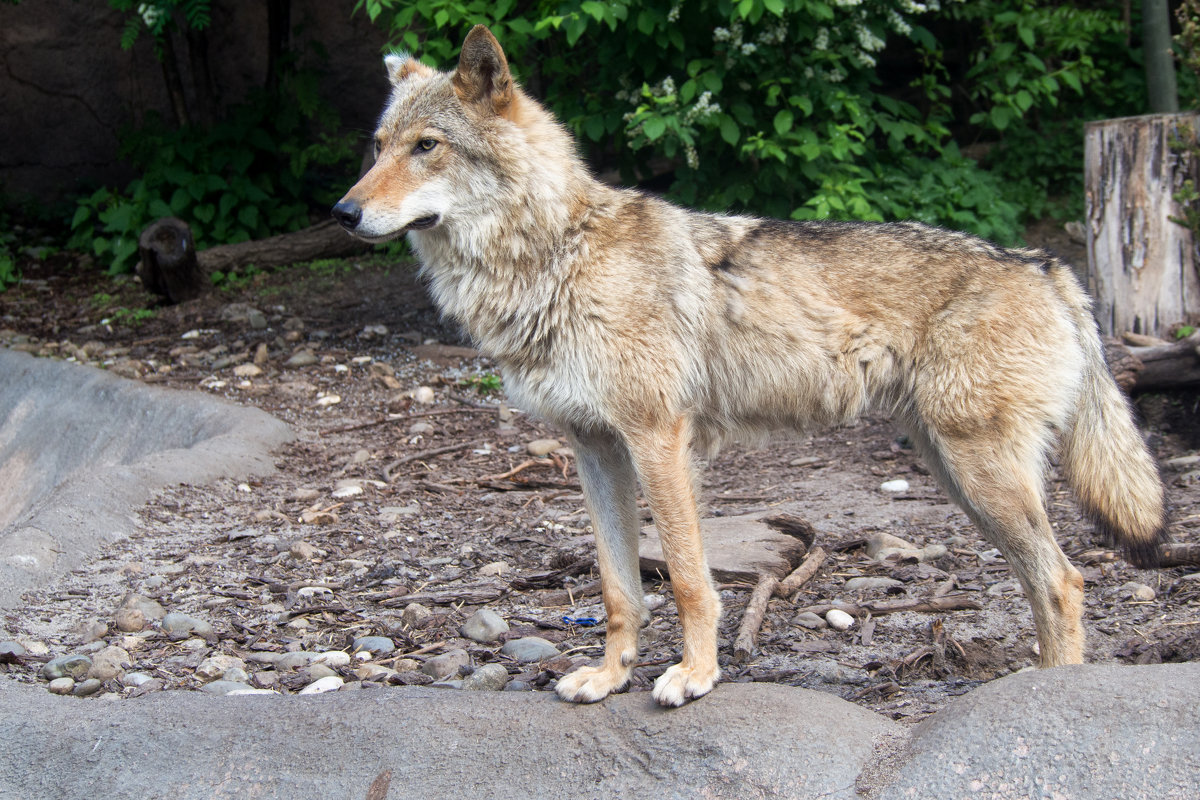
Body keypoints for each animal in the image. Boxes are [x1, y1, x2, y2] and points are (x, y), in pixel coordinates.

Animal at [333, 25, 1166, 705]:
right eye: (378, 145)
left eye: (427, 146)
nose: (342, 213)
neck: (557, 256)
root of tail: (1044, 265)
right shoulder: (594, 448)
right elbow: (618, 587)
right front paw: (608, 678)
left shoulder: (658, 440)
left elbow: (688, 579)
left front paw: (694, 676)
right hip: (961, 477)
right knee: (1047, 579)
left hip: (981, 474)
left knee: (1064, 579)